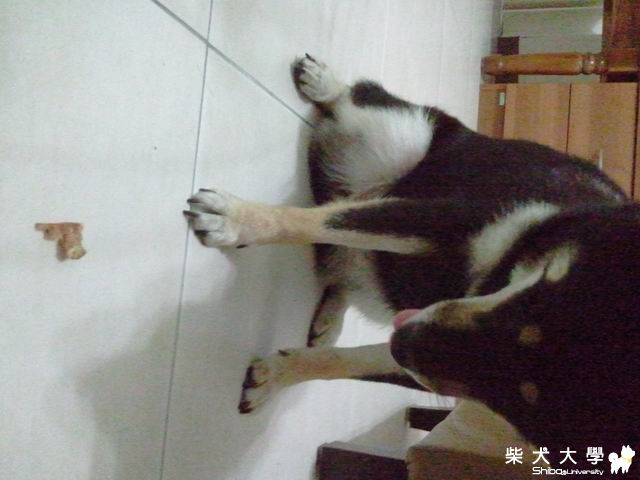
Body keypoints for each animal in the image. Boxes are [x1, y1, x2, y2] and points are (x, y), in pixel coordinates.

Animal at [184, 55, 640, 470]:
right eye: (537, 291)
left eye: (523, 405)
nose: (403, 341)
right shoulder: (447, 219)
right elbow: (314, 220)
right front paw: (236, 220)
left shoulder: (430, 363)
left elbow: (344, 363)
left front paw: (275, 378)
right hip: (405, 140)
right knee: (363, 106)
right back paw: (325, 83)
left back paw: (331, 318)